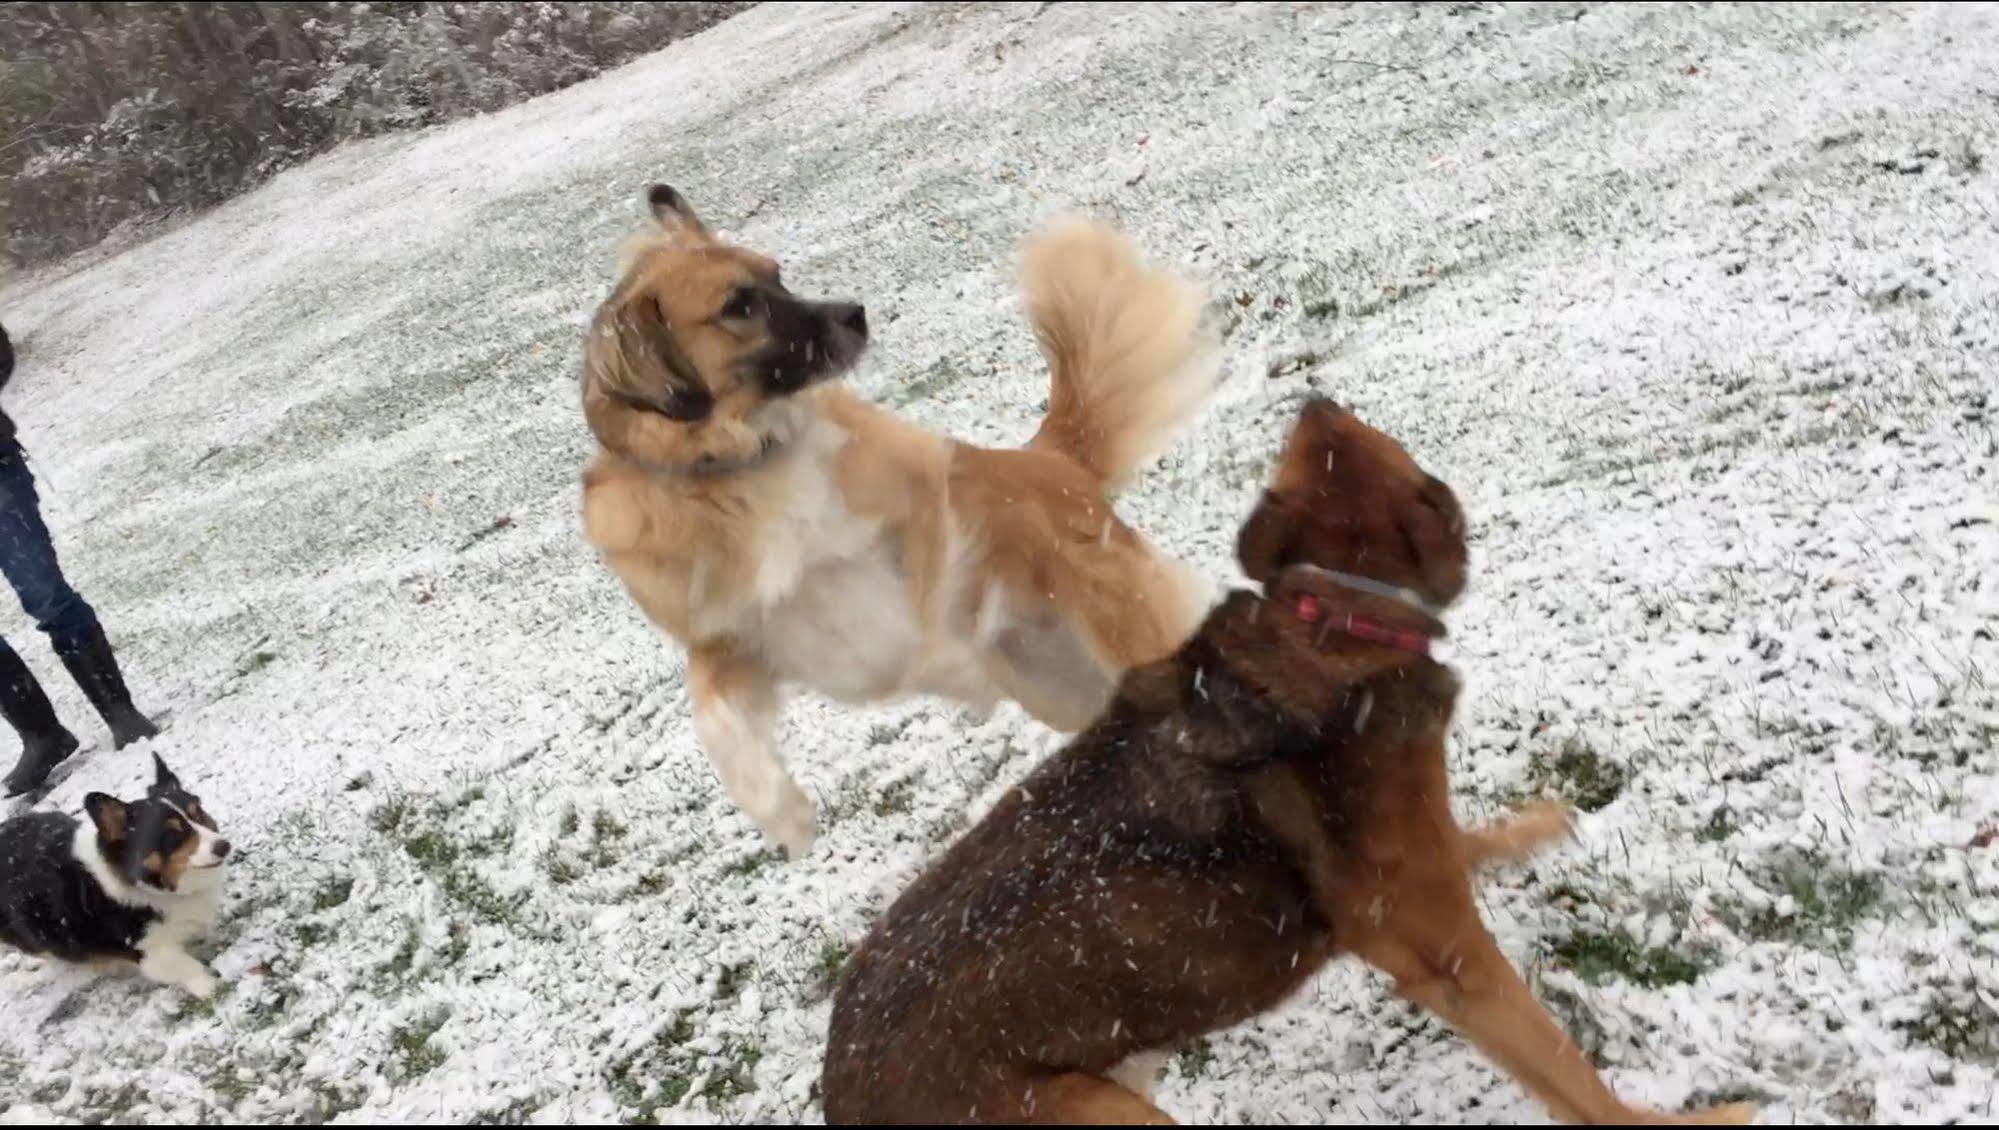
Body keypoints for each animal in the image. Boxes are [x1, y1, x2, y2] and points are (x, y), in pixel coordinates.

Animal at [571, 187, 1207, 856]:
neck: (747, 467)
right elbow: (713, 716)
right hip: (1064, 684)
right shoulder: (728, 643)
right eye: (739, 305)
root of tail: (1050, 462)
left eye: (778, 275)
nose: (855, 314)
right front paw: (783, 814)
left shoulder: (924, 488)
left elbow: (931, 565)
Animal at [819, 400, 1759, 1120]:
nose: (1313, 391)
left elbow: (1466, 840)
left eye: (1327, 433)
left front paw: (1532, 827)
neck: (1332, 623)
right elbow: (1565, 1070)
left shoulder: (1417, 869)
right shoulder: (1446, 955)